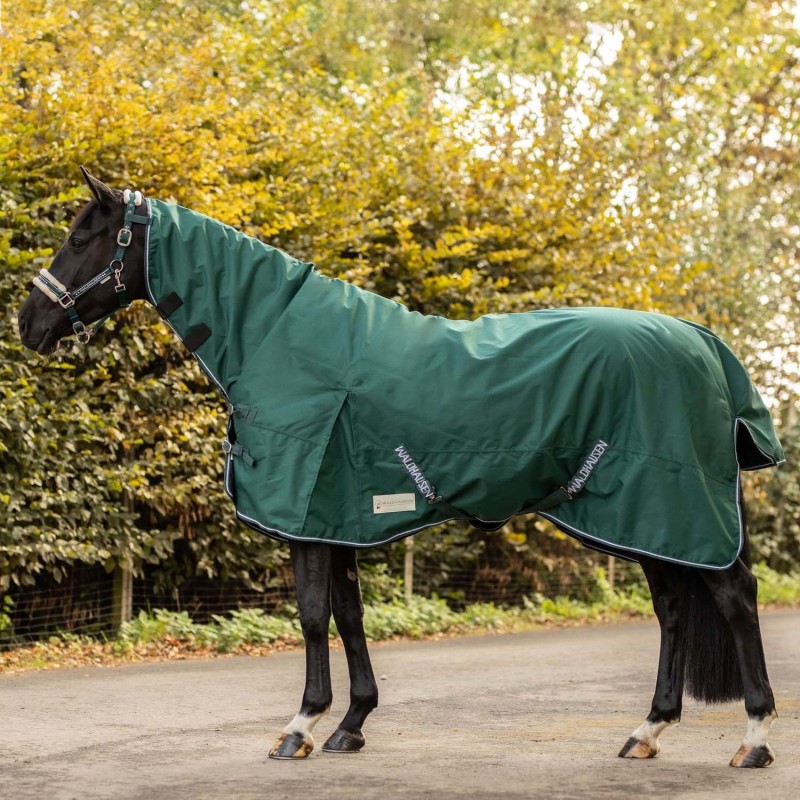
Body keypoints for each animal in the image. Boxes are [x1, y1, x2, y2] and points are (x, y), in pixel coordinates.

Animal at [17, 170, 780, 768]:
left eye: (82, 238)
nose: (28, 325)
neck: (277, 334)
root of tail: (705, 345)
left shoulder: (308, 516)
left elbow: (313, 617)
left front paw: (300, 726)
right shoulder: (337, 517)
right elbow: (350, 617)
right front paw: (351, 724)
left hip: (672, 506)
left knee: (735, 598)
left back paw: (754, 738)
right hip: (648, 518)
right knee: (674, 610)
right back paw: (647, 731)